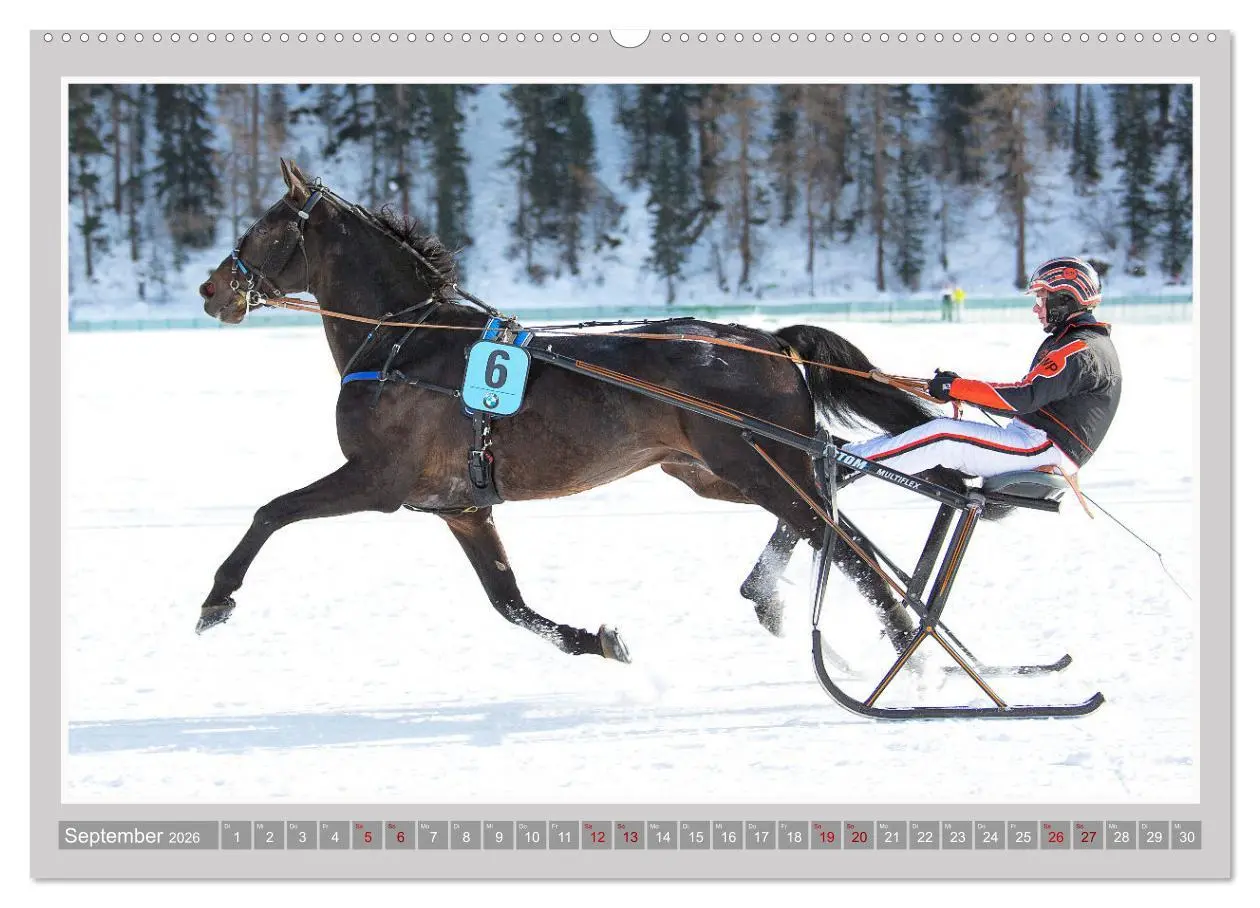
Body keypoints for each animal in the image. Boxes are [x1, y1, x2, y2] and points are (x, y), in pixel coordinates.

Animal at [194, 159, 947, 661]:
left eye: (265, 226)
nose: (210, 288)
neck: (405, 341)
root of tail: (768, 341)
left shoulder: (376, 479)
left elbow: (272, 511)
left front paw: (217, 599)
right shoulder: (460, 507)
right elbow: (509, 603)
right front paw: (597, 639)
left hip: (758, 465)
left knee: (839, 537)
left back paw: (903, 643)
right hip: (715, 472)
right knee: (834, 511)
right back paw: (784, 598)